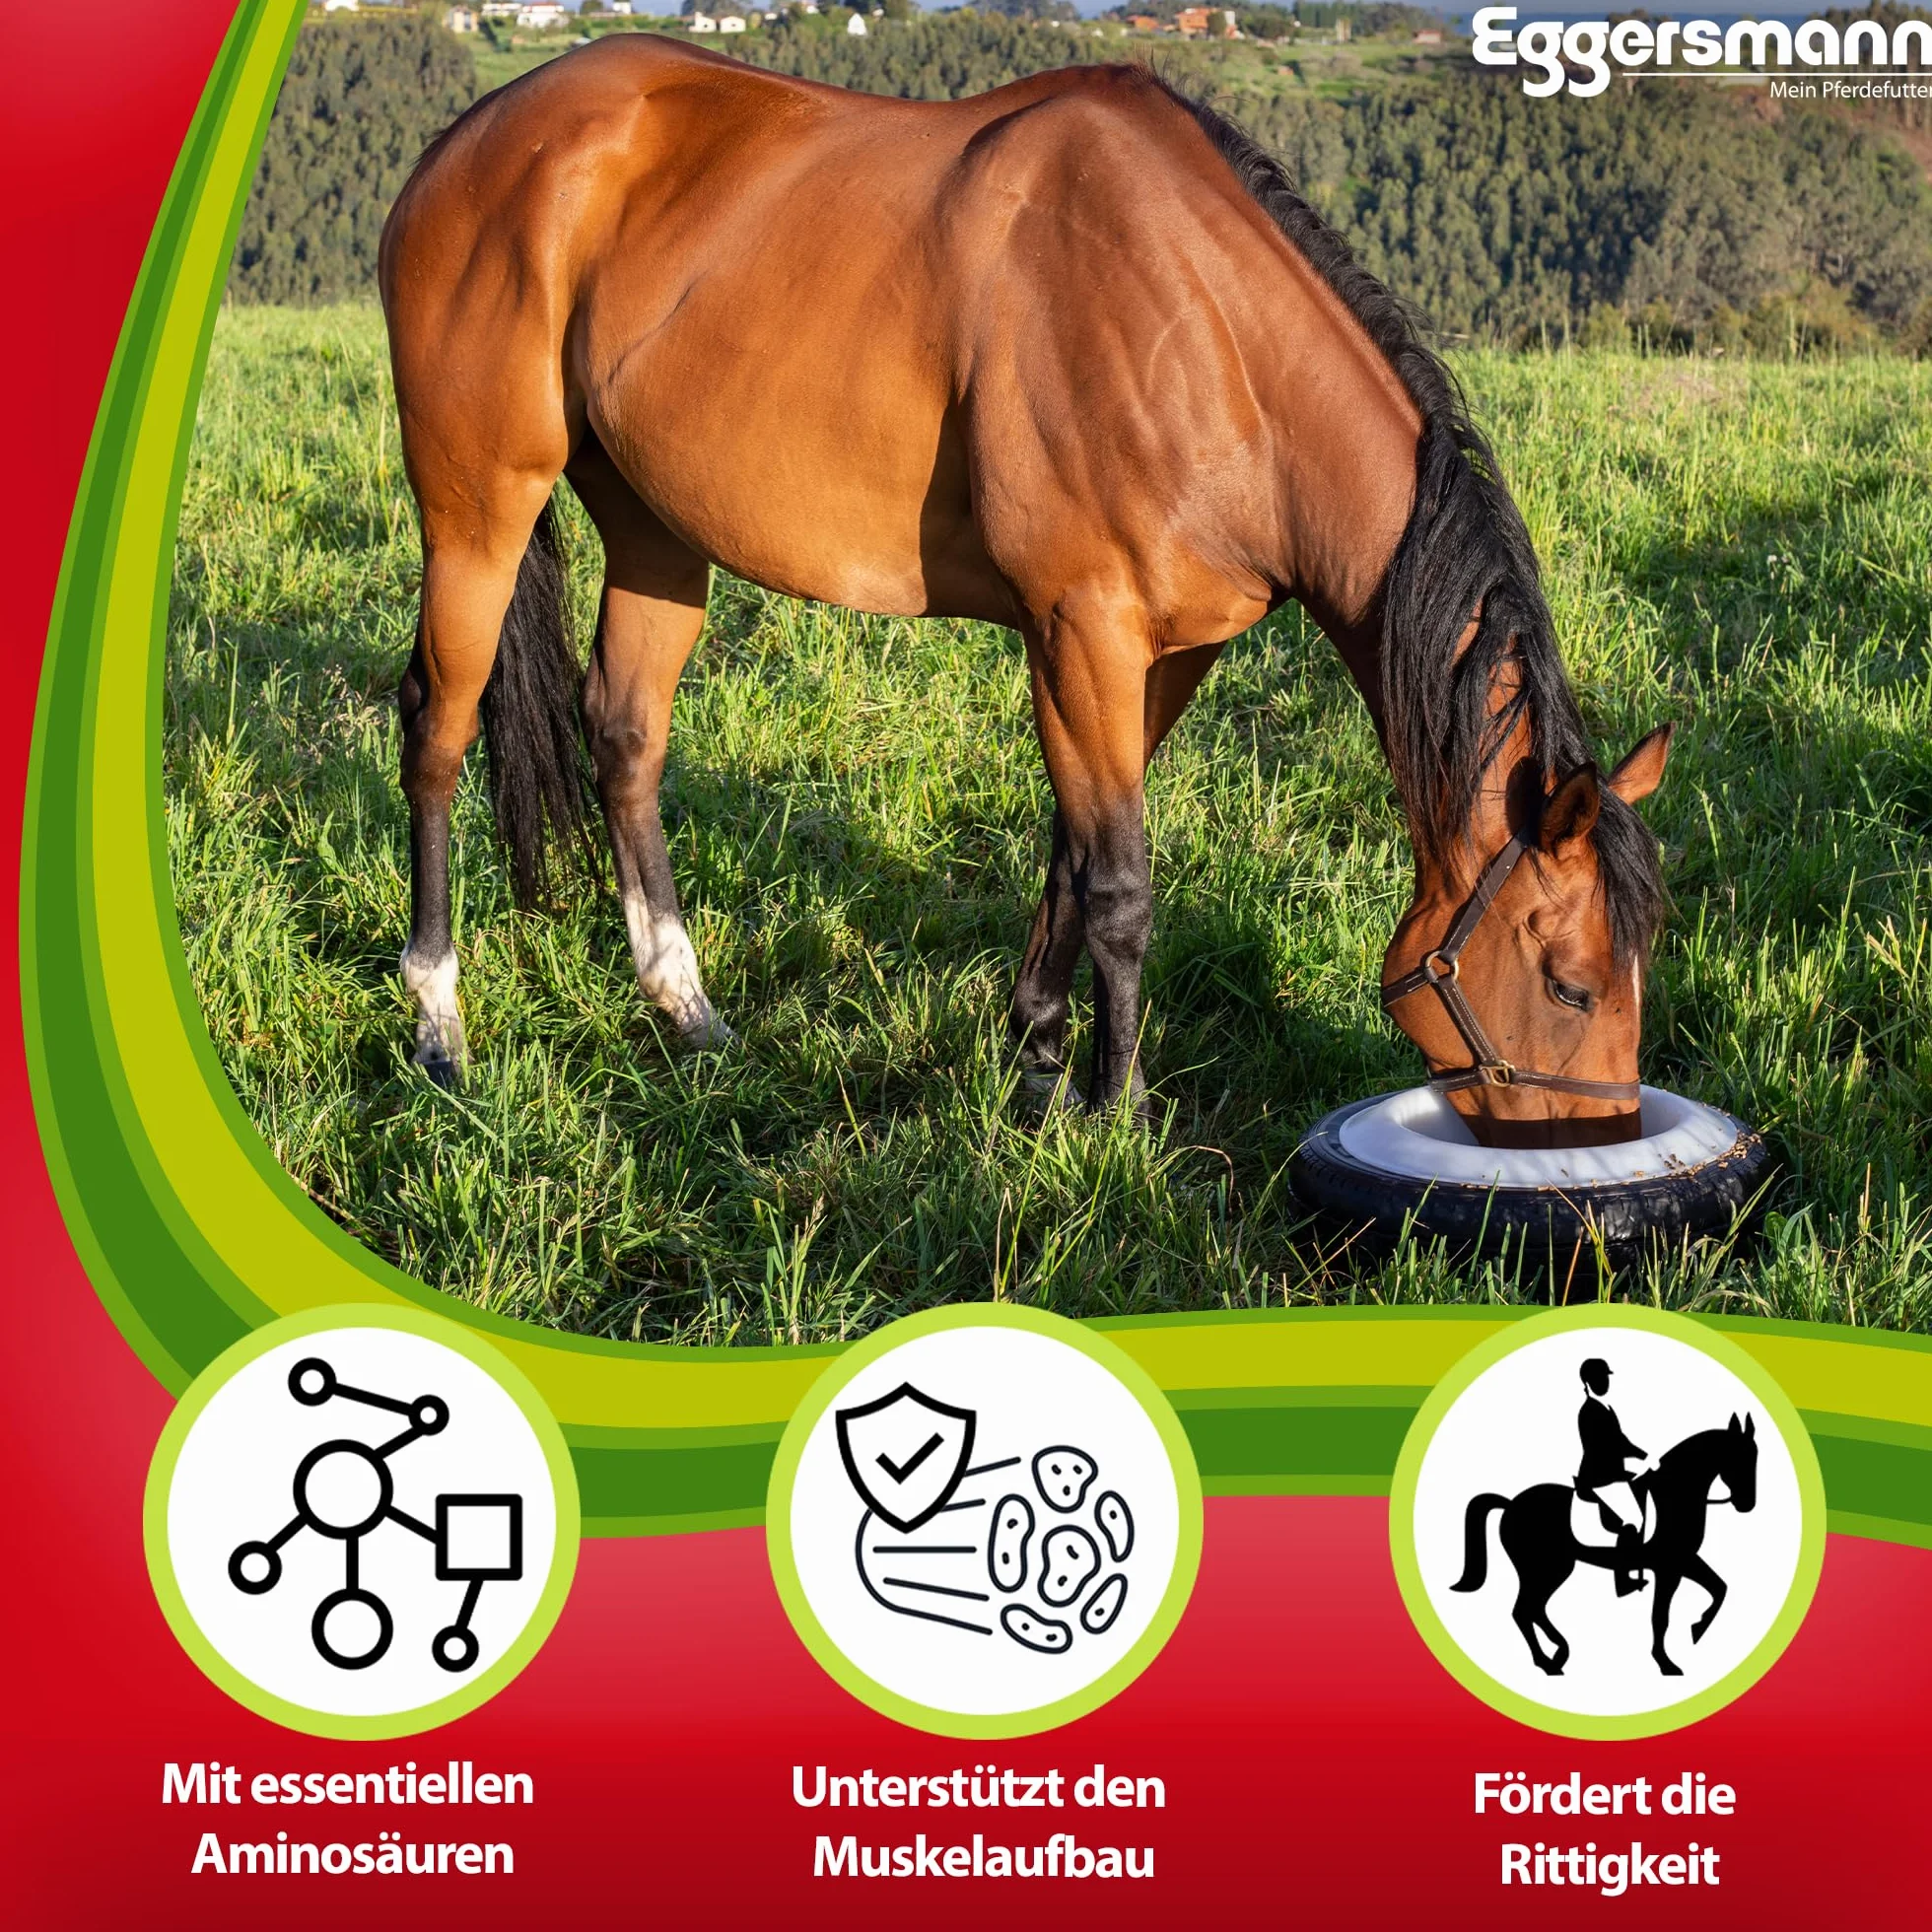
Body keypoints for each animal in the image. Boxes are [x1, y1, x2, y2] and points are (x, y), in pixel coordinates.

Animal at [377, 36, 1671, 1145]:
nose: (1597, 1150)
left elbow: (1070, 856)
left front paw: (1041, 1058)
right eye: (1567, 983)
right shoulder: (1080, 627)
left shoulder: (1163, 654)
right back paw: (439, 1023)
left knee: (626, 735)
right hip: (479, 506)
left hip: (656, 530)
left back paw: (685, 1009)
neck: (1206, 337)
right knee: (438, 726)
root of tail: (470, 139)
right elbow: (1122, 886)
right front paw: (1120, 1108)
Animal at [1451, 1412, 1760, 1678]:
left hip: (1550, 1569)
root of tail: (1511, 1504)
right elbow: (1661, 1616)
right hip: (1545, 1569)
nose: (1747, 1504)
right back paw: (1549, 1662)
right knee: (1524, 1610)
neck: (1674, 1495)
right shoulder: (1668, 1567)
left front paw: (1698, 1628)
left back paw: (1557, 1655)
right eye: (1740, 1457)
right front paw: (1667, 1663)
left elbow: (1719, 1587)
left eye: (1755, 1457)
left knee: (1532, 1609)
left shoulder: (1683, 1560)